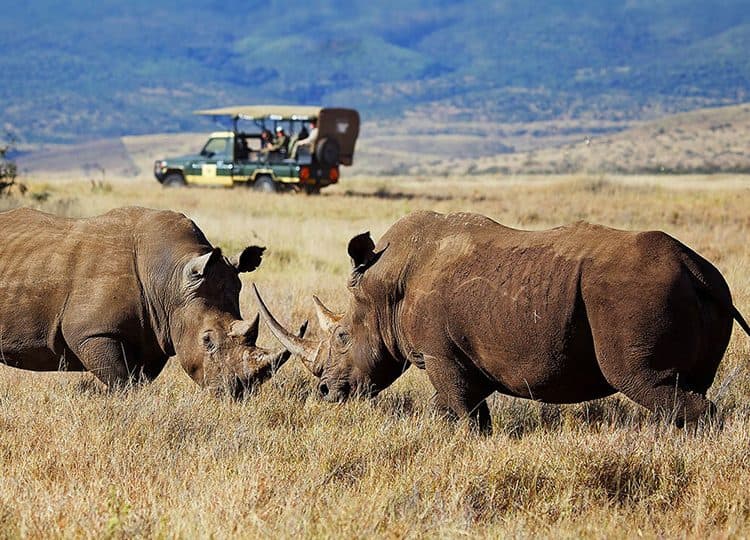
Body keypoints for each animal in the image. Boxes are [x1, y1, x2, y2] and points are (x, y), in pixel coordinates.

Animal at [0, 206, 304, 396]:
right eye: (207, 340)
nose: (239, 391)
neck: (170, 281)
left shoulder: (156, 333)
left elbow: (138, 380)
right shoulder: (92, 332)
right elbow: (121, 381)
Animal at [256, 210, 750, 432]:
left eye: (342, 335)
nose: (324, 391)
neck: (383, 288)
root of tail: (694, 267)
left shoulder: (440, 353)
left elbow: (463, 411)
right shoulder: (465, 356)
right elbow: (458, 408)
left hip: (634, 294)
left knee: (640, 378)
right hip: (706, 288)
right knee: (683, 386)